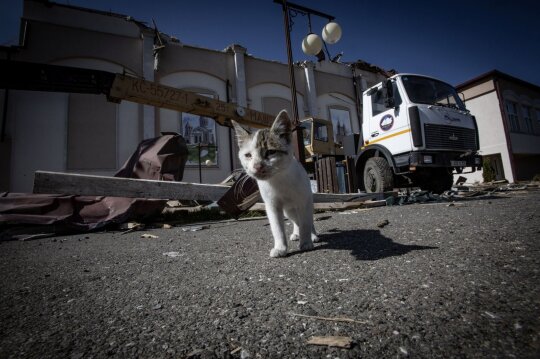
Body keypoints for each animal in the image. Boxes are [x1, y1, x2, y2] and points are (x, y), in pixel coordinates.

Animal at [231, 110, 316, 258]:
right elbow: (277, 227)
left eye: (270, 152)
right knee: (295, 220)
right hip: (289, 211)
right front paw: (280, 248)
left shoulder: (304, 201)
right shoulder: (272, 205)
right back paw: (296, 233)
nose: (257, 166)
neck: (278, 179)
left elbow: (306, 222)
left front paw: (306, 242)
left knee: (306, 219)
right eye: (248, 155)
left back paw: (313, 235)